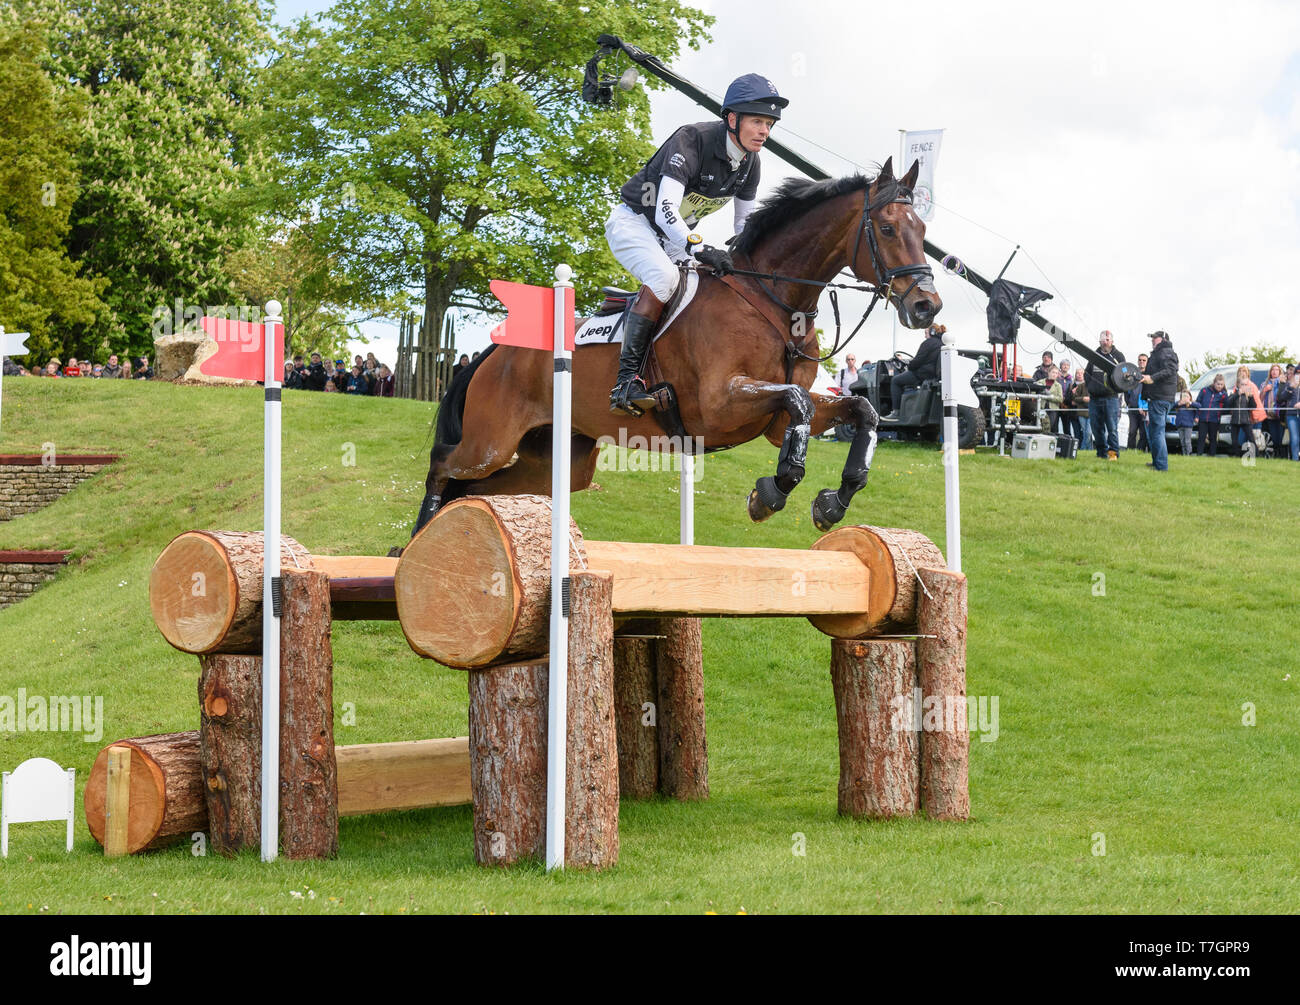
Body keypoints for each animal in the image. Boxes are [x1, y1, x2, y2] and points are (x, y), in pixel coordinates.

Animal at [416, 154, 946, 533]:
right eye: (887, 228)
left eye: (923, 230)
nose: (927, 307)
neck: (774, 300)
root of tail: (499, 352)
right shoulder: (718, 404)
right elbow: (797, 401)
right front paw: (770, 493)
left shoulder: (775, 422)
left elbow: (862, 412)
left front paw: (833, 501)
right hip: (490, 440)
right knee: (445, 466)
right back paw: (418, 535)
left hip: (557, 459)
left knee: (478, 489)